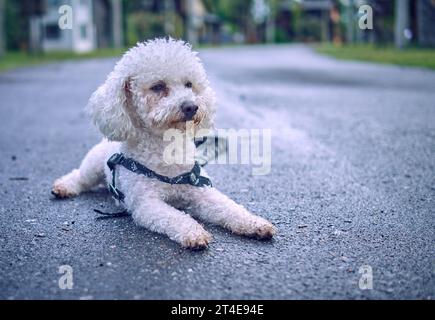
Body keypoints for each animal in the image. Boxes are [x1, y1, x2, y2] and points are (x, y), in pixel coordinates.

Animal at [51, 37, 276, 248]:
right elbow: (174, 217)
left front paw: (254, 223)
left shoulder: (200, 189)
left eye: (189, 84)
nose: (191, 106)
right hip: (93, 167)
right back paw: (63, 187)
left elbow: (228, 207)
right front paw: (193, 233)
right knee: (80, 176)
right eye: (158, 87)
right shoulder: (146, 203)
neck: (167, 150)